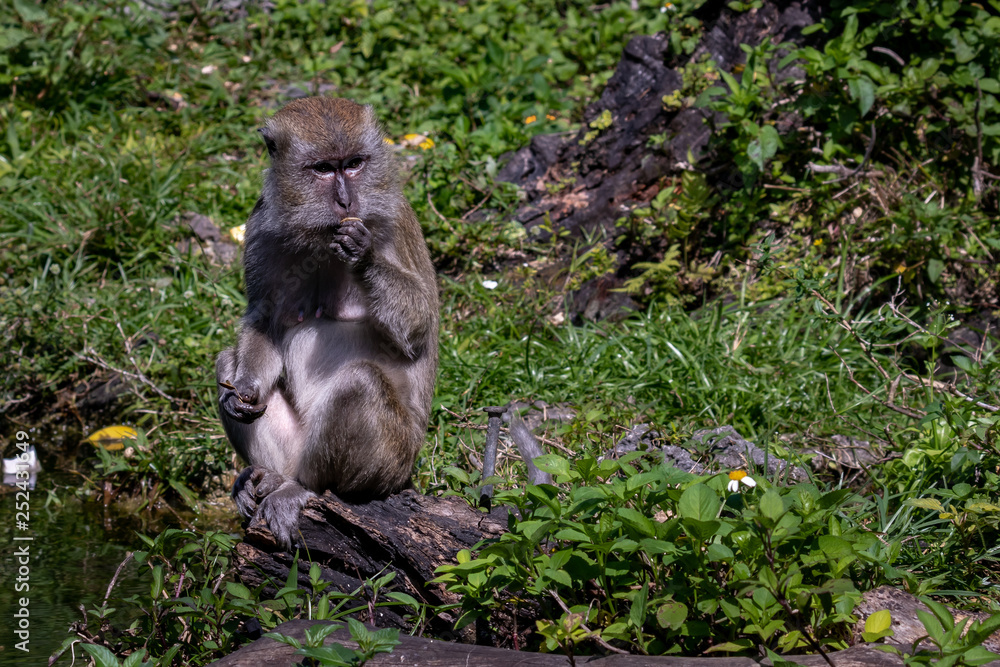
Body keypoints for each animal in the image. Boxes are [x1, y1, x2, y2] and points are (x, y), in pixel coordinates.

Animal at [215, 98, 438, 548]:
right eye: (322, 168)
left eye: (353, 164)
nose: (346, 200)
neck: (318, 235)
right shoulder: (261, 227)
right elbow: (264, 319)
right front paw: (243, 390)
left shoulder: (396, 221)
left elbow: (419, 325)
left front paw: (362, 256)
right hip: (295, 448)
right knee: (226, 360)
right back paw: (267, 477)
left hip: (392, 463)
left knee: (360, 383)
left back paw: (306, 489)